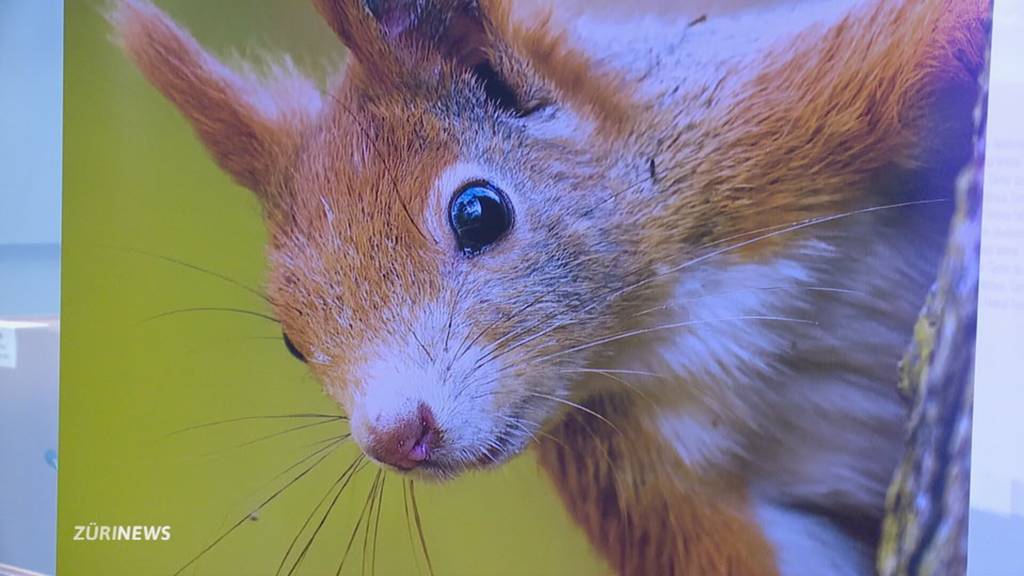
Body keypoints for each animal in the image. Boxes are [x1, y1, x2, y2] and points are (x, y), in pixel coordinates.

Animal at [114, 1, 991, 569]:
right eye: (292, 341)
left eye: (478, 211)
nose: (395, 436)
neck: (668, 313)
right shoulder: (643, 473)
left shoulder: (794, 103)